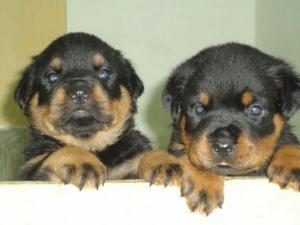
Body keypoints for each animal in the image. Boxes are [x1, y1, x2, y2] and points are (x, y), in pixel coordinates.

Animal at [15, 32, 151, 189]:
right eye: (52, 76)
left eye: (104, 73)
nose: (79, 92)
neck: (89, 144)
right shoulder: (29, 172)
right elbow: (64, 150)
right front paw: (84, 163)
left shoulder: (129, 164)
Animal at [139, 42, 300, 214]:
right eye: (198, 109)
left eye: (255, 109)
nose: (222, 145)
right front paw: (204, 185)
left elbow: (289, 142)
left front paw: (293, 165)